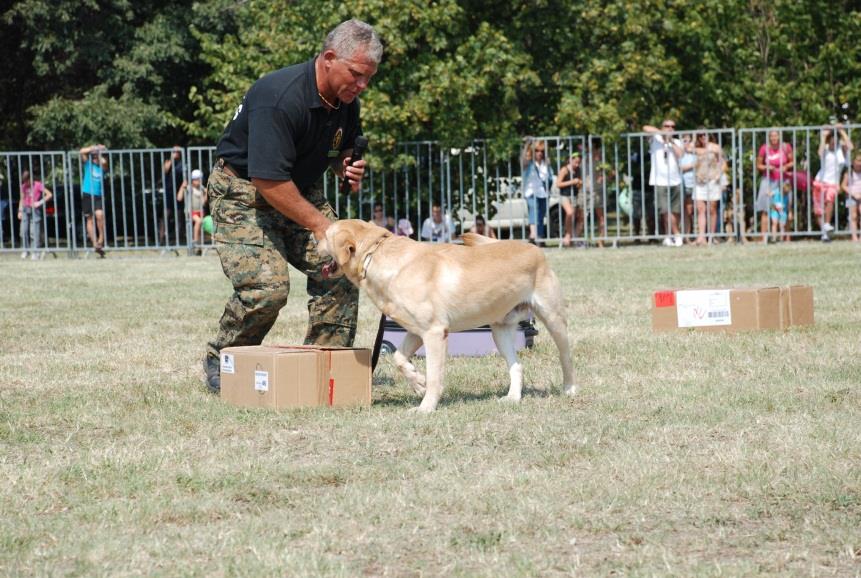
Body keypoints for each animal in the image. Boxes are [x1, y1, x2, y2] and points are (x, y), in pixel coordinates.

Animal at [318, 218, 576, 412]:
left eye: (326, 234)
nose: (313, 237)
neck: (377, 256)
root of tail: (534, 247)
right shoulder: (416, 331)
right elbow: (399, 358)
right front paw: (418, 382)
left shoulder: (434, 333)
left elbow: (434, 377)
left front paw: (425, 407)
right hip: (500, 331)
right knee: (517, 366)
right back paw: (512, 397)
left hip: (553, 318)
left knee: (566, 357)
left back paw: (569, 390)